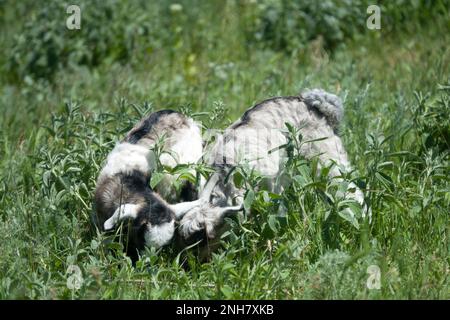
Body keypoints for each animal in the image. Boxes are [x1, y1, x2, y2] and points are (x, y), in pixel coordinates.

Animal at [174, 89, 368, 251]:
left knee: (350, 190)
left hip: (327, 157)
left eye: (204, 239)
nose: (189, 265)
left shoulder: (273, 187)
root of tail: (314, 104)